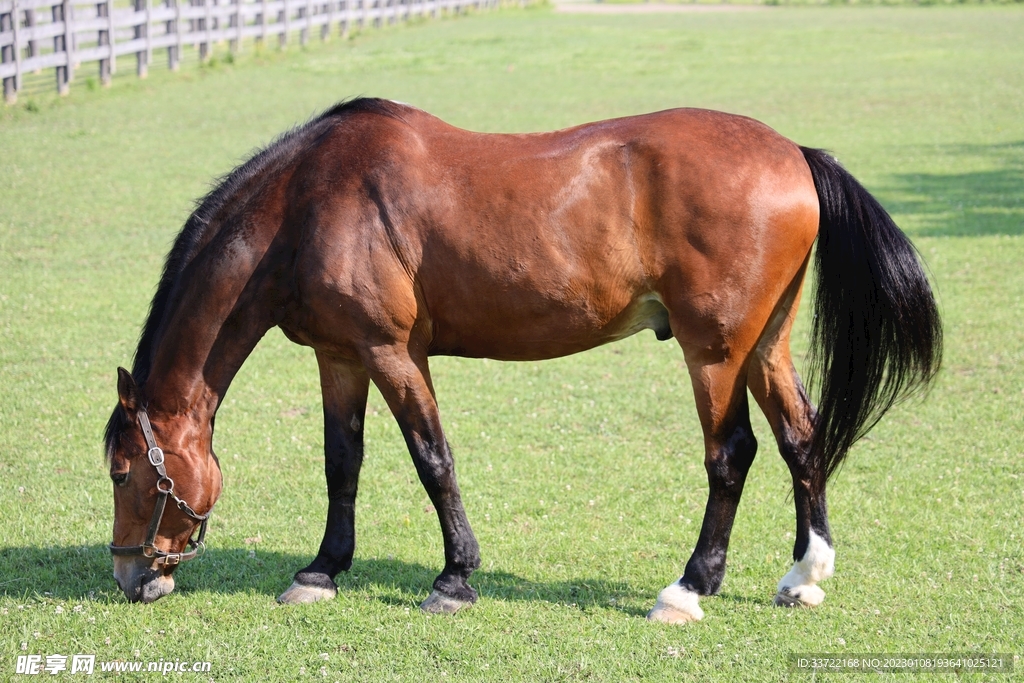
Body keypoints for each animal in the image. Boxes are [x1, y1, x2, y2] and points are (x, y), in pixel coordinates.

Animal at [104, 98, 941, 621]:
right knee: (803, 438)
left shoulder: (392, 351)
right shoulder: (340, 356)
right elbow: (343, 462)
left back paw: (689, 587)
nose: (130, 575)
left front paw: (454, 577)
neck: (309, 200)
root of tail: (792, 153)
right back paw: (805, 574)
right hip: (765, 344)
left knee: (732, 452)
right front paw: (321, 569)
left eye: (123, 471)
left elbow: (432, 458)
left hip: (715, 351)